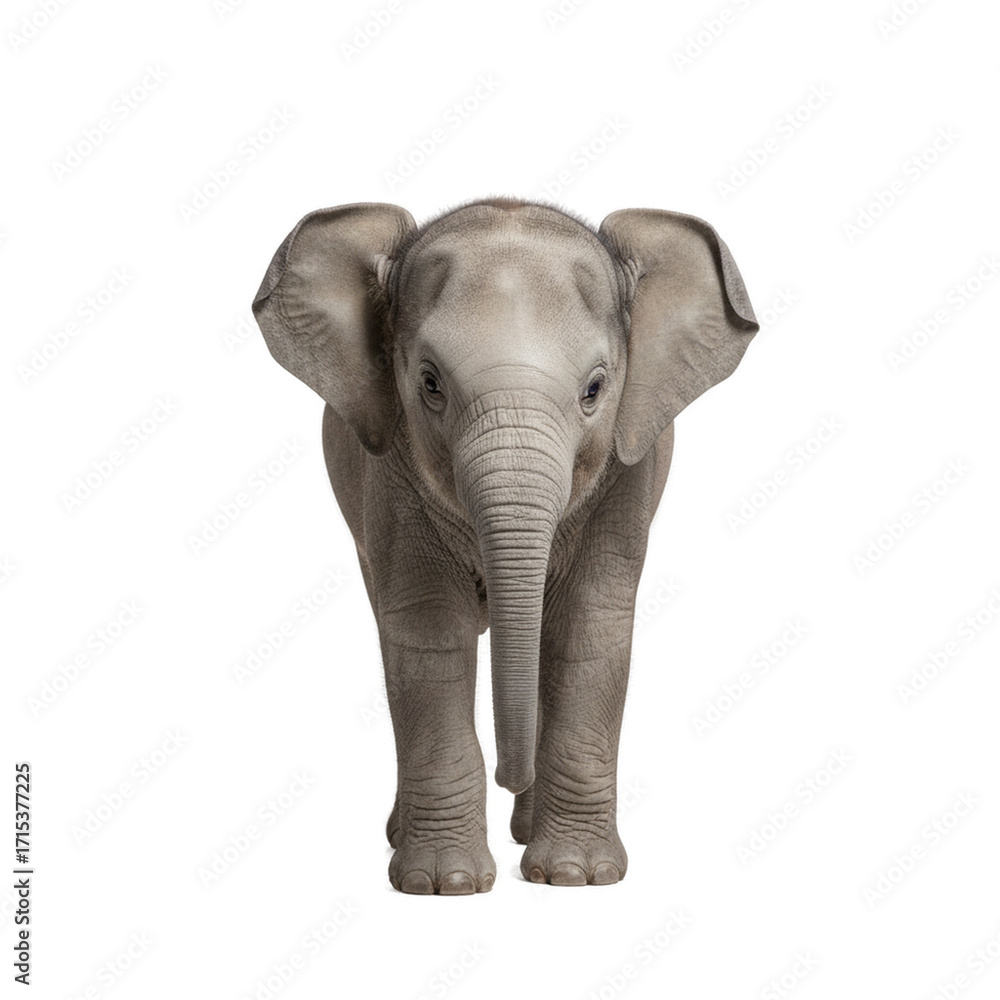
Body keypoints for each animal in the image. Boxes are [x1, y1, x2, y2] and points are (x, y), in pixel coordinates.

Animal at [252, 198, 758, 894]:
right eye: (430, 383)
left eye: (595, 389)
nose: (507, 775)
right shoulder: (390, 472)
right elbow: (429, 635)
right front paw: (442, 885)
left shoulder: (630, 467)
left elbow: (587, 629)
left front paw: (573, 877)